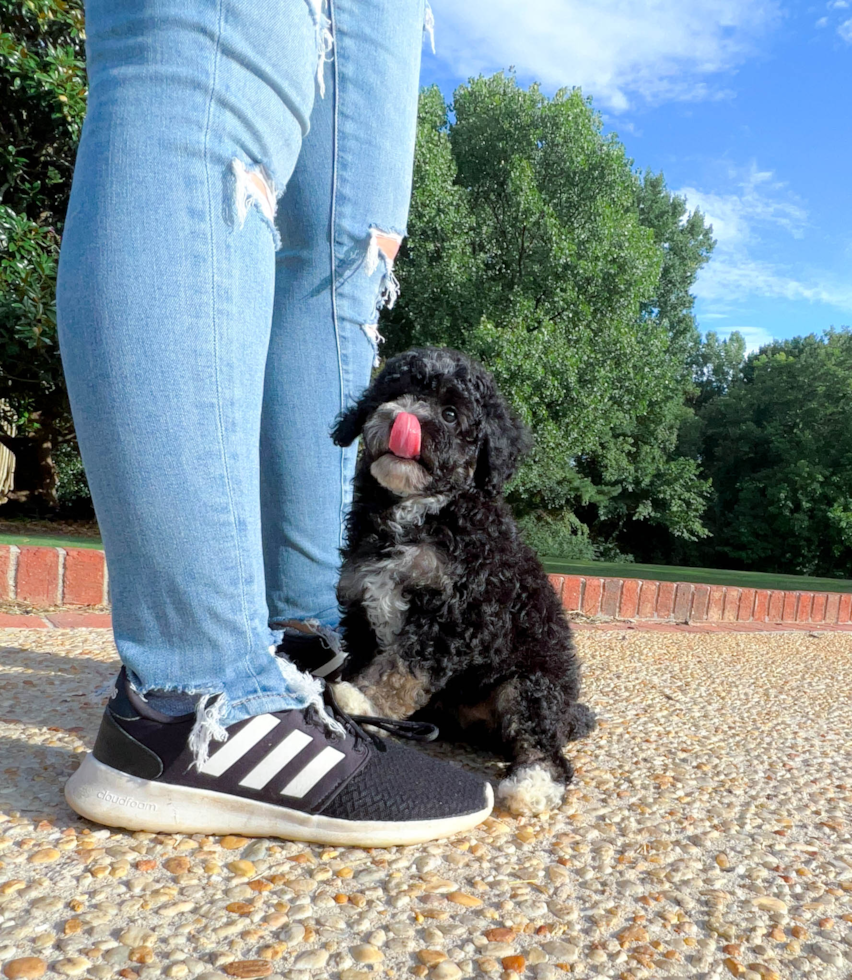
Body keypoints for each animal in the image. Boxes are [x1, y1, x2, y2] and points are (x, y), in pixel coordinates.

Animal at [330, 348, 596, 816]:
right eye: (394, 393)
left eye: (451, 414)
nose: (403, 418)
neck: (419, 514)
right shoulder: (361, 598)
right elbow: (371, 657)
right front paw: (361, 702)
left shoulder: (457, 614)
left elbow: (401, 666)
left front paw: (362, 700)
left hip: (528, 684)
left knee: (544, 744)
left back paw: (532, 784)